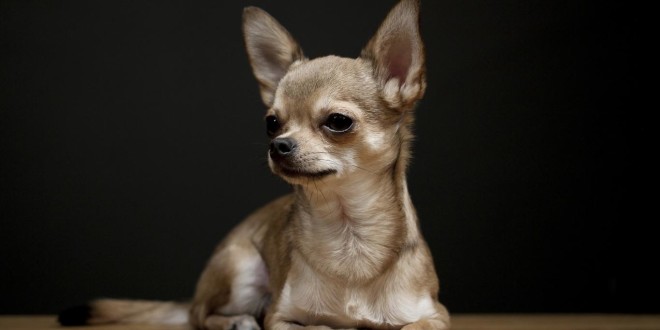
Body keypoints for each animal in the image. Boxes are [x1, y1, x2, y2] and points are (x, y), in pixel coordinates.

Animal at [58, 0, 448, 328]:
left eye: (338, 122)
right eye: (271, 123)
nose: (279, 145)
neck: (348, 235)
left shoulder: (435, 316)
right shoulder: (279, 316)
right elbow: (313, 324)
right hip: (241, 266)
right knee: (200, 315)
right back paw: (236, 321)